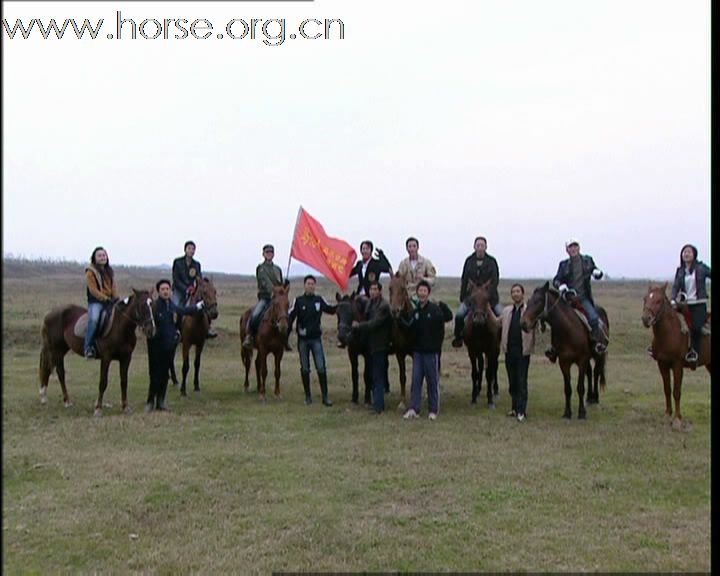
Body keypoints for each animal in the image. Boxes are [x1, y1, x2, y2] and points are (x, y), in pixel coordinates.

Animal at [464, 280, 498, 408]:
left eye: (487, 299)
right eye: (472, 299)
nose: (479, 320)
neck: (480, 329)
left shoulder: (491, 350)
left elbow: (489, 373)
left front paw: (490, 400)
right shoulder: (472, 351)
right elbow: (475, 373)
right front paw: (473, 398)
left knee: (494, 368)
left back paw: (495, 390)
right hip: (480, 352)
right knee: (482, 364)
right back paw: (478, 390)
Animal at [516, 282, 608, 418]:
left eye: (539, 301)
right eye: (529, 300)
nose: (523, 323)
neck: (569, 330)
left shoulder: (581, 360)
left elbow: (580, 387)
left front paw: (581, 413)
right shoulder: (564, 362)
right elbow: (567, 389)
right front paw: (567, 412)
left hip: (598, 355)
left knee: (596, 372)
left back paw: (595, 398)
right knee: (590, 373)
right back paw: (589, 398)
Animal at [644, 282, 712, 430]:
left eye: (659, 301)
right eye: (645, 298)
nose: (646, 319)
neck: (669, 332)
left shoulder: (677, 365)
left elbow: (676, 391)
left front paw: (677, 419)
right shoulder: (662, 364)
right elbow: (667, 389)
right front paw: (667, 415)